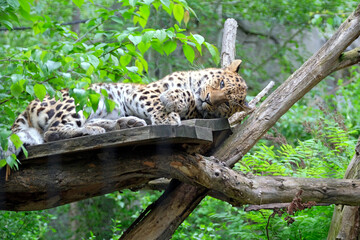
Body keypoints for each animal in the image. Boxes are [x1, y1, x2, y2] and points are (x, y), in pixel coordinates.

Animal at [0, 59, 248, 158]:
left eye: (226, 104)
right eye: (221, 83)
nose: (209, 99)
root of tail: (26, 109)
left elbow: (189, 103)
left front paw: (175, 104)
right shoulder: (142, 90)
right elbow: (161, 98)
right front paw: (169, 112)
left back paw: (125, 123)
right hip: (82, 98)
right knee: (53, 131)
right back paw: (95, 130)